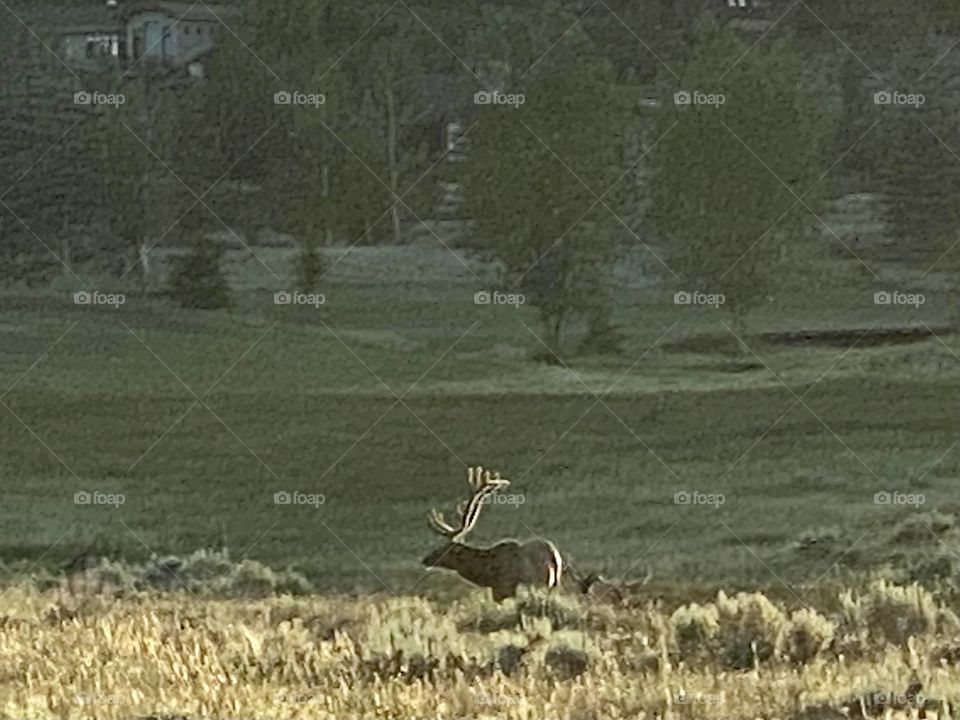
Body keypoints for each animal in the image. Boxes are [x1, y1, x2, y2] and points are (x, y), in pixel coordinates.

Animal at [422, 465, 563, 601]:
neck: (486, 574)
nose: (425, 560)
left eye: (445, 549)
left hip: (537, 581)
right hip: (555, 583)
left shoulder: (502, 588)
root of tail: (553, 555)